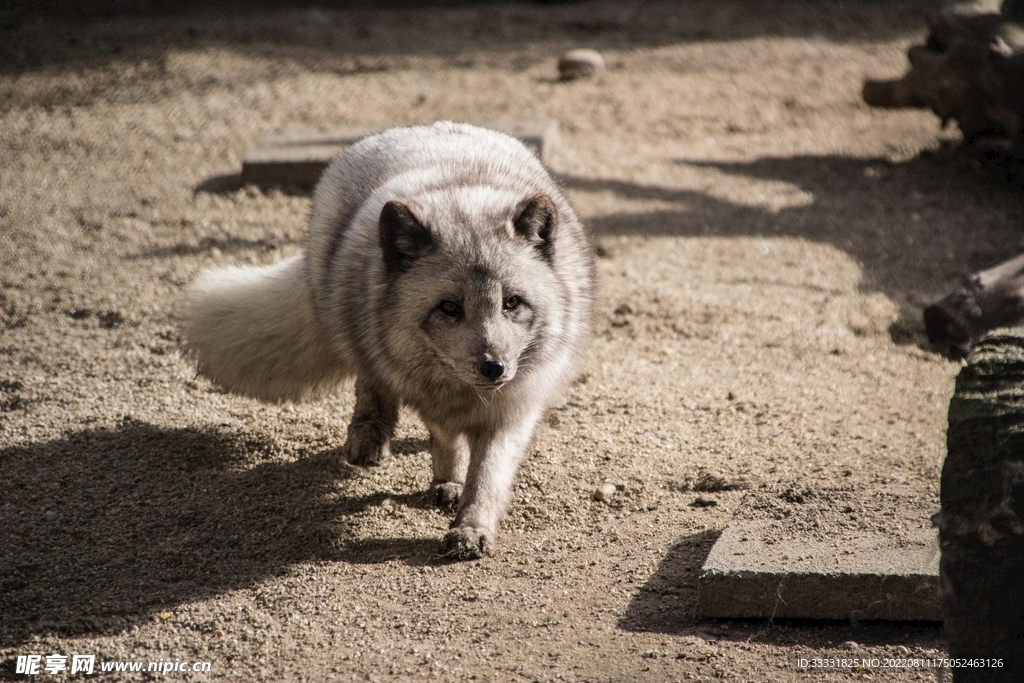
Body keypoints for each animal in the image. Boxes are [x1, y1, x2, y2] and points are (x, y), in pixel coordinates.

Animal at [181, 121, 598, 561]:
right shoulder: (426, 391)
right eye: (449, 307)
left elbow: (487, 475)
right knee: (370, 382)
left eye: (512, 303)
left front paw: (472, 526)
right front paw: (450, 480)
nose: (494, 367)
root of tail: (414, 128)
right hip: (351, 326)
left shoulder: (514, 409)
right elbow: (445, 437)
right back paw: (370, 435)